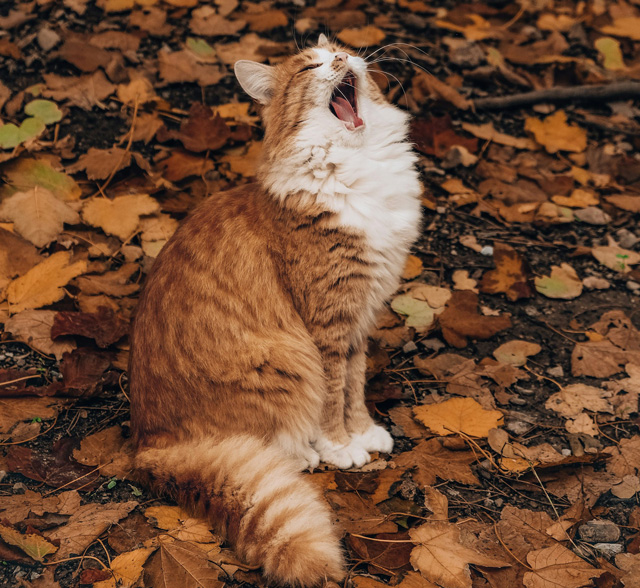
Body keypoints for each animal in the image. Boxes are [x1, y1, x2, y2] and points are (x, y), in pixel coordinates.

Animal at [130, 34, 422, 584]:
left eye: (342, 49)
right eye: (310, 67)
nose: (342, 60)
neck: (359, 165)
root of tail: (147, 444)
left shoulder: (359, 317)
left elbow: (354, 385)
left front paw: (363, 431)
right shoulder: (327, 324)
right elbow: (332, 394)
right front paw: (340, 445)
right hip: (282, 358)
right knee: (272, 442)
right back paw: (304, 454)